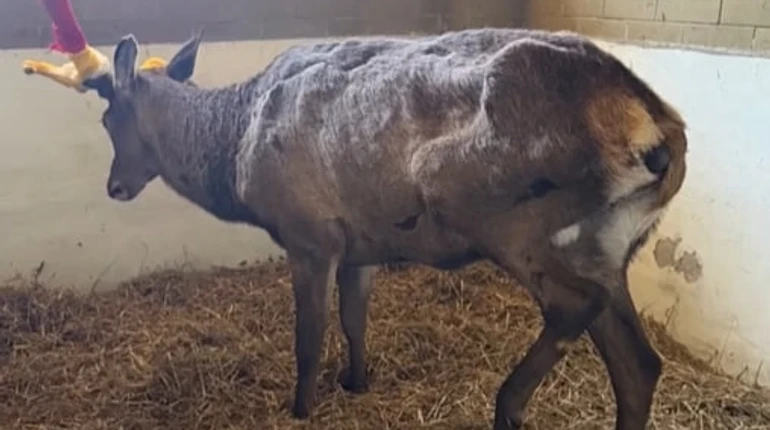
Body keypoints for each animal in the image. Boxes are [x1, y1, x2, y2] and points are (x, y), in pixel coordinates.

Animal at [78, 27, 687, 430]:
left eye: (108, 117)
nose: (114, 186)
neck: (233, 155)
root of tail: (659, 131)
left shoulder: (309, 233)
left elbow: (309, 336)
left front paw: (301, 408)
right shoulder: (362, 242)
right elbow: (354, 318)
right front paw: (356, 381)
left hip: (496, 212)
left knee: (573, 305)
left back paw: (508, 404)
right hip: (605, 243)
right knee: (639, 363)